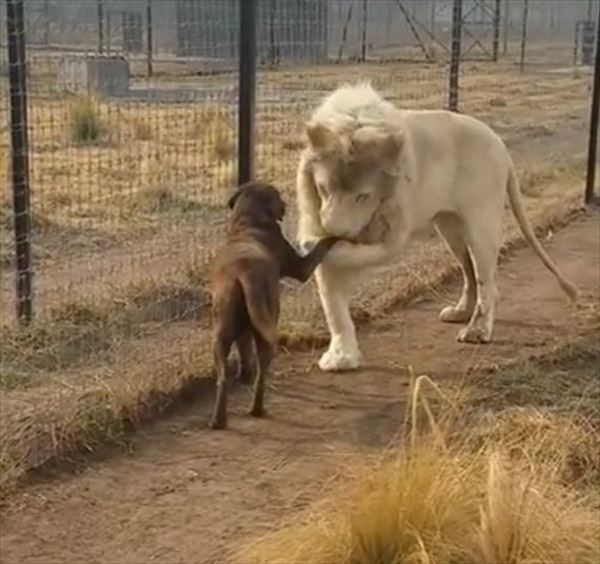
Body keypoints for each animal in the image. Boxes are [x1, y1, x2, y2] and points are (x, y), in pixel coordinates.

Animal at [209, 183, 338, 430]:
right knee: (262, 371)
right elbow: (322, 245)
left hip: (222, 332)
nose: (286, 204)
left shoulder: (243, 329)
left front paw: (245, 374)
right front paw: (337, 235)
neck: (248, 221)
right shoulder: (300, 267)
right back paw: (257, 409)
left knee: (222, 378)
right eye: (277, 196)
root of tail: (243, 274)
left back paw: (218, 419)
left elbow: (244, 348)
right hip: (267, 323)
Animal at [296, 81, 576, 372]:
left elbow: (352, 254)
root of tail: (500, 144)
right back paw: (461, 312)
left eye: (363, 196)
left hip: (481, 225)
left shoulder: (394, 232)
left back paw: (478, 331)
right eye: (323, 188)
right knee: (469, 270)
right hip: (450, 229)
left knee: (486, 279)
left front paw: (314, 246)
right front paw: (341, 357)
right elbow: (333, 306)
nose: (332, 230)